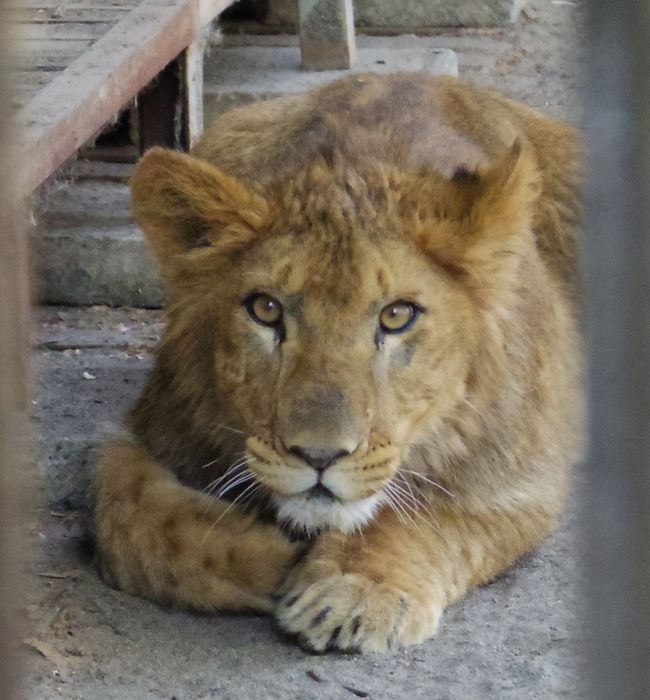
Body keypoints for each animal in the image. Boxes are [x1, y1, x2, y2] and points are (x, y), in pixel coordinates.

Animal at [93, 74, 584, 652]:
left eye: (397, 315)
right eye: (266, 309)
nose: (319, 456)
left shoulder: (521, 478)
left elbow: (426, 515)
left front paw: (356, 587)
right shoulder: (145, 432)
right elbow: (126, 516)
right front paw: (270, 559)